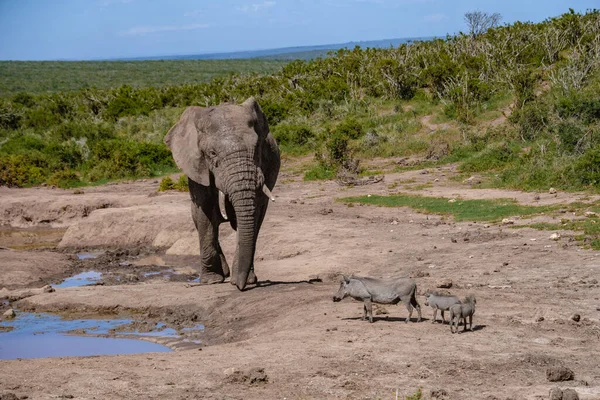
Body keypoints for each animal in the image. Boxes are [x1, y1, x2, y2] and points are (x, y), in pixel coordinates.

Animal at [165, 97, 280, 290]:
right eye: (212, 153)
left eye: (257, 148)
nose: (240, 287)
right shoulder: (197, 166)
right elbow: (205, 212)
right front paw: (211, 280)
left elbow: (252, 212)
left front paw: (244, 279)